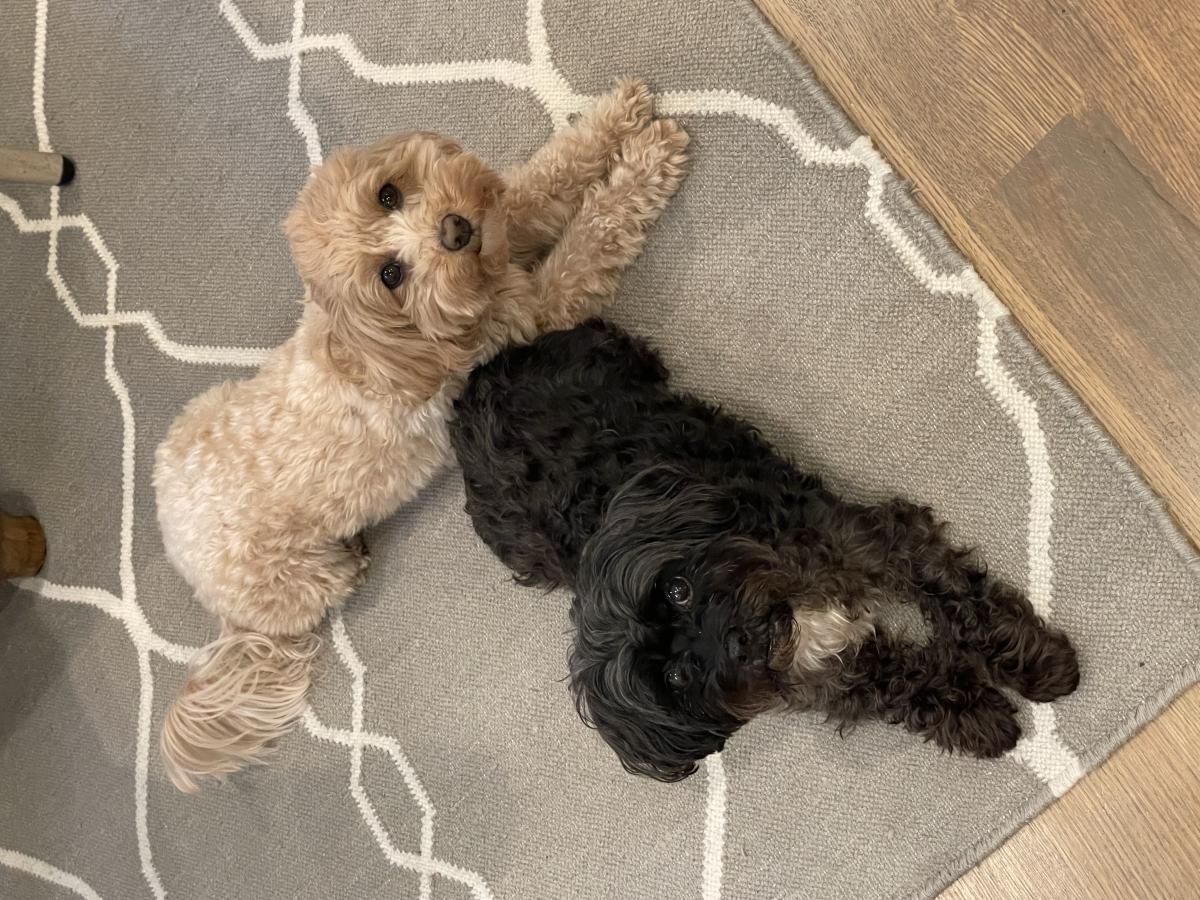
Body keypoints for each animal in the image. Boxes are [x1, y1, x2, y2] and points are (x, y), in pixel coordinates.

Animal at [154, 81, 691, 792]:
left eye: (387, 195)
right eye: (390, 276)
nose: (454, 231)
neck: (395, 344)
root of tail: (183, 553)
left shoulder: (506, 227)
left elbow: (545, 175)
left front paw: (619, 117)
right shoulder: (537, 314)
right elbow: (591, 236)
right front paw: (647, 161)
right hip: (297, 580)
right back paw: (354, 560)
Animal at [448, 321, 1080, 782]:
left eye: (677, 589)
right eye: (676, 678)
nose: (737, 641)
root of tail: (462, 396)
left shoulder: (872, 540)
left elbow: (958, 594)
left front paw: (1041, 663)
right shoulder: (822, 677)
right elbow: (904, 684)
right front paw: (980, 718)